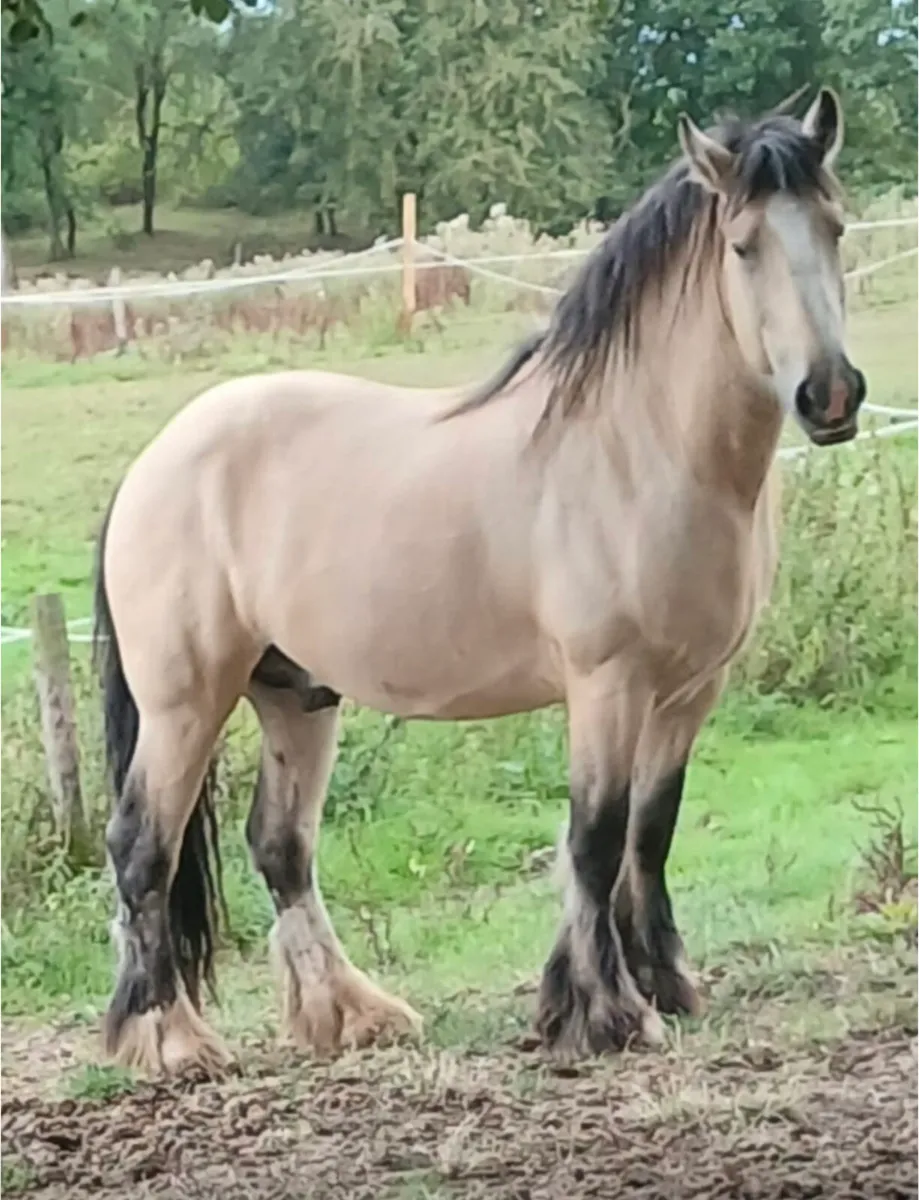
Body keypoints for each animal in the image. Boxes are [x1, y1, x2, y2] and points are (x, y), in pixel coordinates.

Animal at [93, 87, 866, 1075]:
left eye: (834, 225)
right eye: (742, 245)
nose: (830, 396)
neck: (640, 448)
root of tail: (154, 461)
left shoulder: (689, 690)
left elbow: (647, 833)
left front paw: (657, 986)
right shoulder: (606, 683)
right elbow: (595, 836)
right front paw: (607, 1013)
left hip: (295, 693)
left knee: (280, 847)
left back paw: (351, 1014)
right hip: (185, 702)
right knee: (141, 845)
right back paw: (170, 1038)